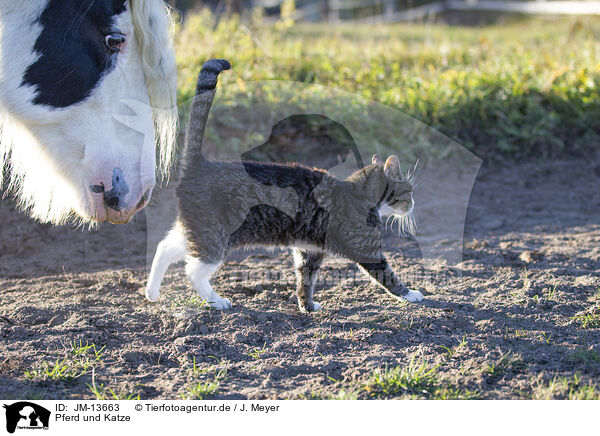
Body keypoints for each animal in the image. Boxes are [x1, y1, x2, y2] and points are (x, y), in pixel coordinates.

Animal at [146, 58, 424, 314]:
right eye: (409, 192)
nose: (413, 204)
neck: (359, 192)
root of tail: (200, 164)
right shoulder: (365, 247)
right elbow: (387, 275)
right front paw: (411, 294)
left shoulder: (308, 251)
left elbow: (305, 281)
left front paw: (307, 306)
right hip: (215, 237)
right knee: (193, 269)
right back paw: (217, 300)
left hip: (196, 230)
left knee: (164, 247)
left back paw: (151, 292)